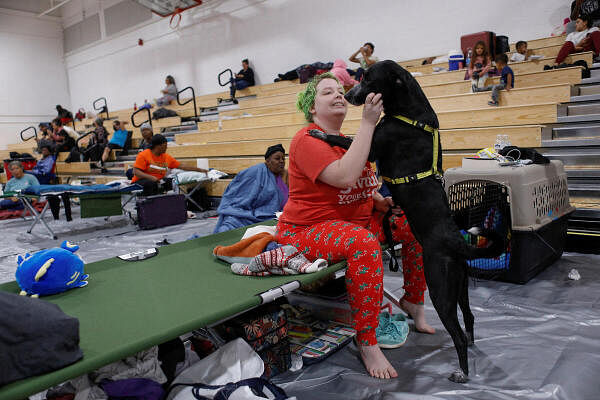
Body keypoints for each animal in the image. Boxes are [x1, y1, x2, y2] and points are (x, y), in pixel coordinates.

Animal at [344, 59, 504, 382]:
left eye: (368, 79)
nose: (347, 96)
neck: (410, 110)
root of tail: (456, 241)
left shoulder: (371, 148)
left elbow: (342, 139)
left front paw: (317, 135)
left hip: (440, 288)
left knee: (457, 333)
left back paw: (462, 373)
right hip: (460, 286)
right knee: (469, 317)